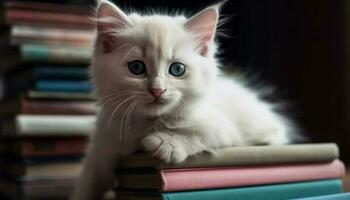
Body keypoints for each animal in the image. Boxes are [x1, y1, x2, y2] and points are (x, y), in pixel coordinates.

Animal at [72, 0, 296, 199]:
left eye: (177, 69)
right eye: (136, 68)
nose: (157, 90)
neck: (149, 122)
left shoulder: (224, 128)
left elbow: (201, 133)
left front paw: (165, 143)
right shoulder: (101, 148)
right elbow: (87, 185)